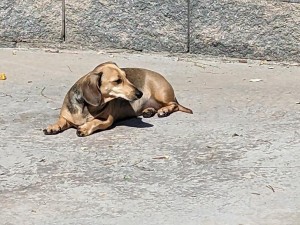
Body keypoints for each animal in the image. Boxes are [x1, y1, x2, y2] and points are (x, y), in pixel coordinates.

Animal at [42, 60, 192, 136]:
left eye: (126, 76)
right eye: (117, 81)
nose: (140, 94)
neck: (86, 107)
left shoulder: (108, 120)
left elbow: (95, 122)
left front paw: (84, 128)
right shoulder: (66, 117)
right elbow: (61, 121)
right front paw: (53, 126)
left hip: (161, 94)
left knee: (174, 105)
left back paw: (164, 110)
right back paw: (149, 111)